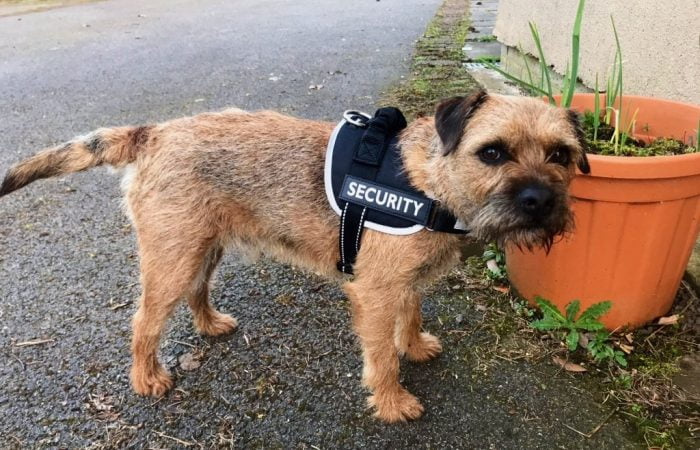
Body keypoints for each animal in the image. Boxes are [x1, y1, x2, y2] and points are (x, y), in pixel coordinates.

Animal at [1, 90, 592, 422]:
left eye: (561, 155)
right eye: (492, 152)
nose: (540, 200)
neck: (430, 180)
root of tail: (153, 133)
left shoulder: (403, 282)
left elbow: (412, 313)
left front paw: (415, 344)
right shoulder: (375, 291)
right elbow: (380, 356)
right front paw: (392, 402)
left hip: (203, 247)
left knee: (197, 290)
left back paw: (210, 324)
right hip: (173, 258)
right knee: (145, 320)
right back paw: (147, 377)